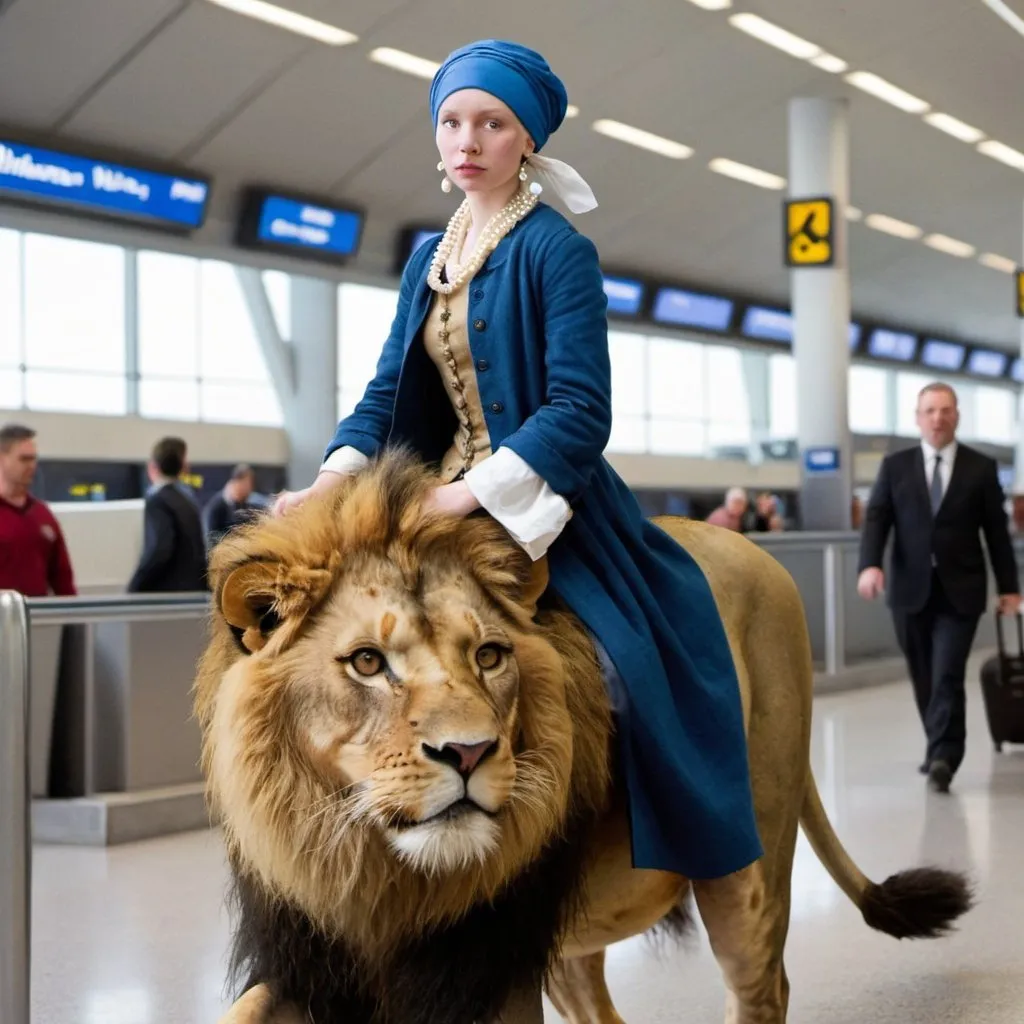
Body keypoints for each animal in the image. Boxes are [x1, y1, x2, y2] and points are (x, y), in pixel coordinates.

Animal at [195, 454, 970, 1024]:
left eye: (489, 656)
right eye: (366, 663)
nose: (469, 753)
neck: (378, 878)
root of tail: (756, 552)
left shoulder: (489, 965)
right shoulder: (316, 961)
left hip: (746, 867)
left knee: (761, 986)